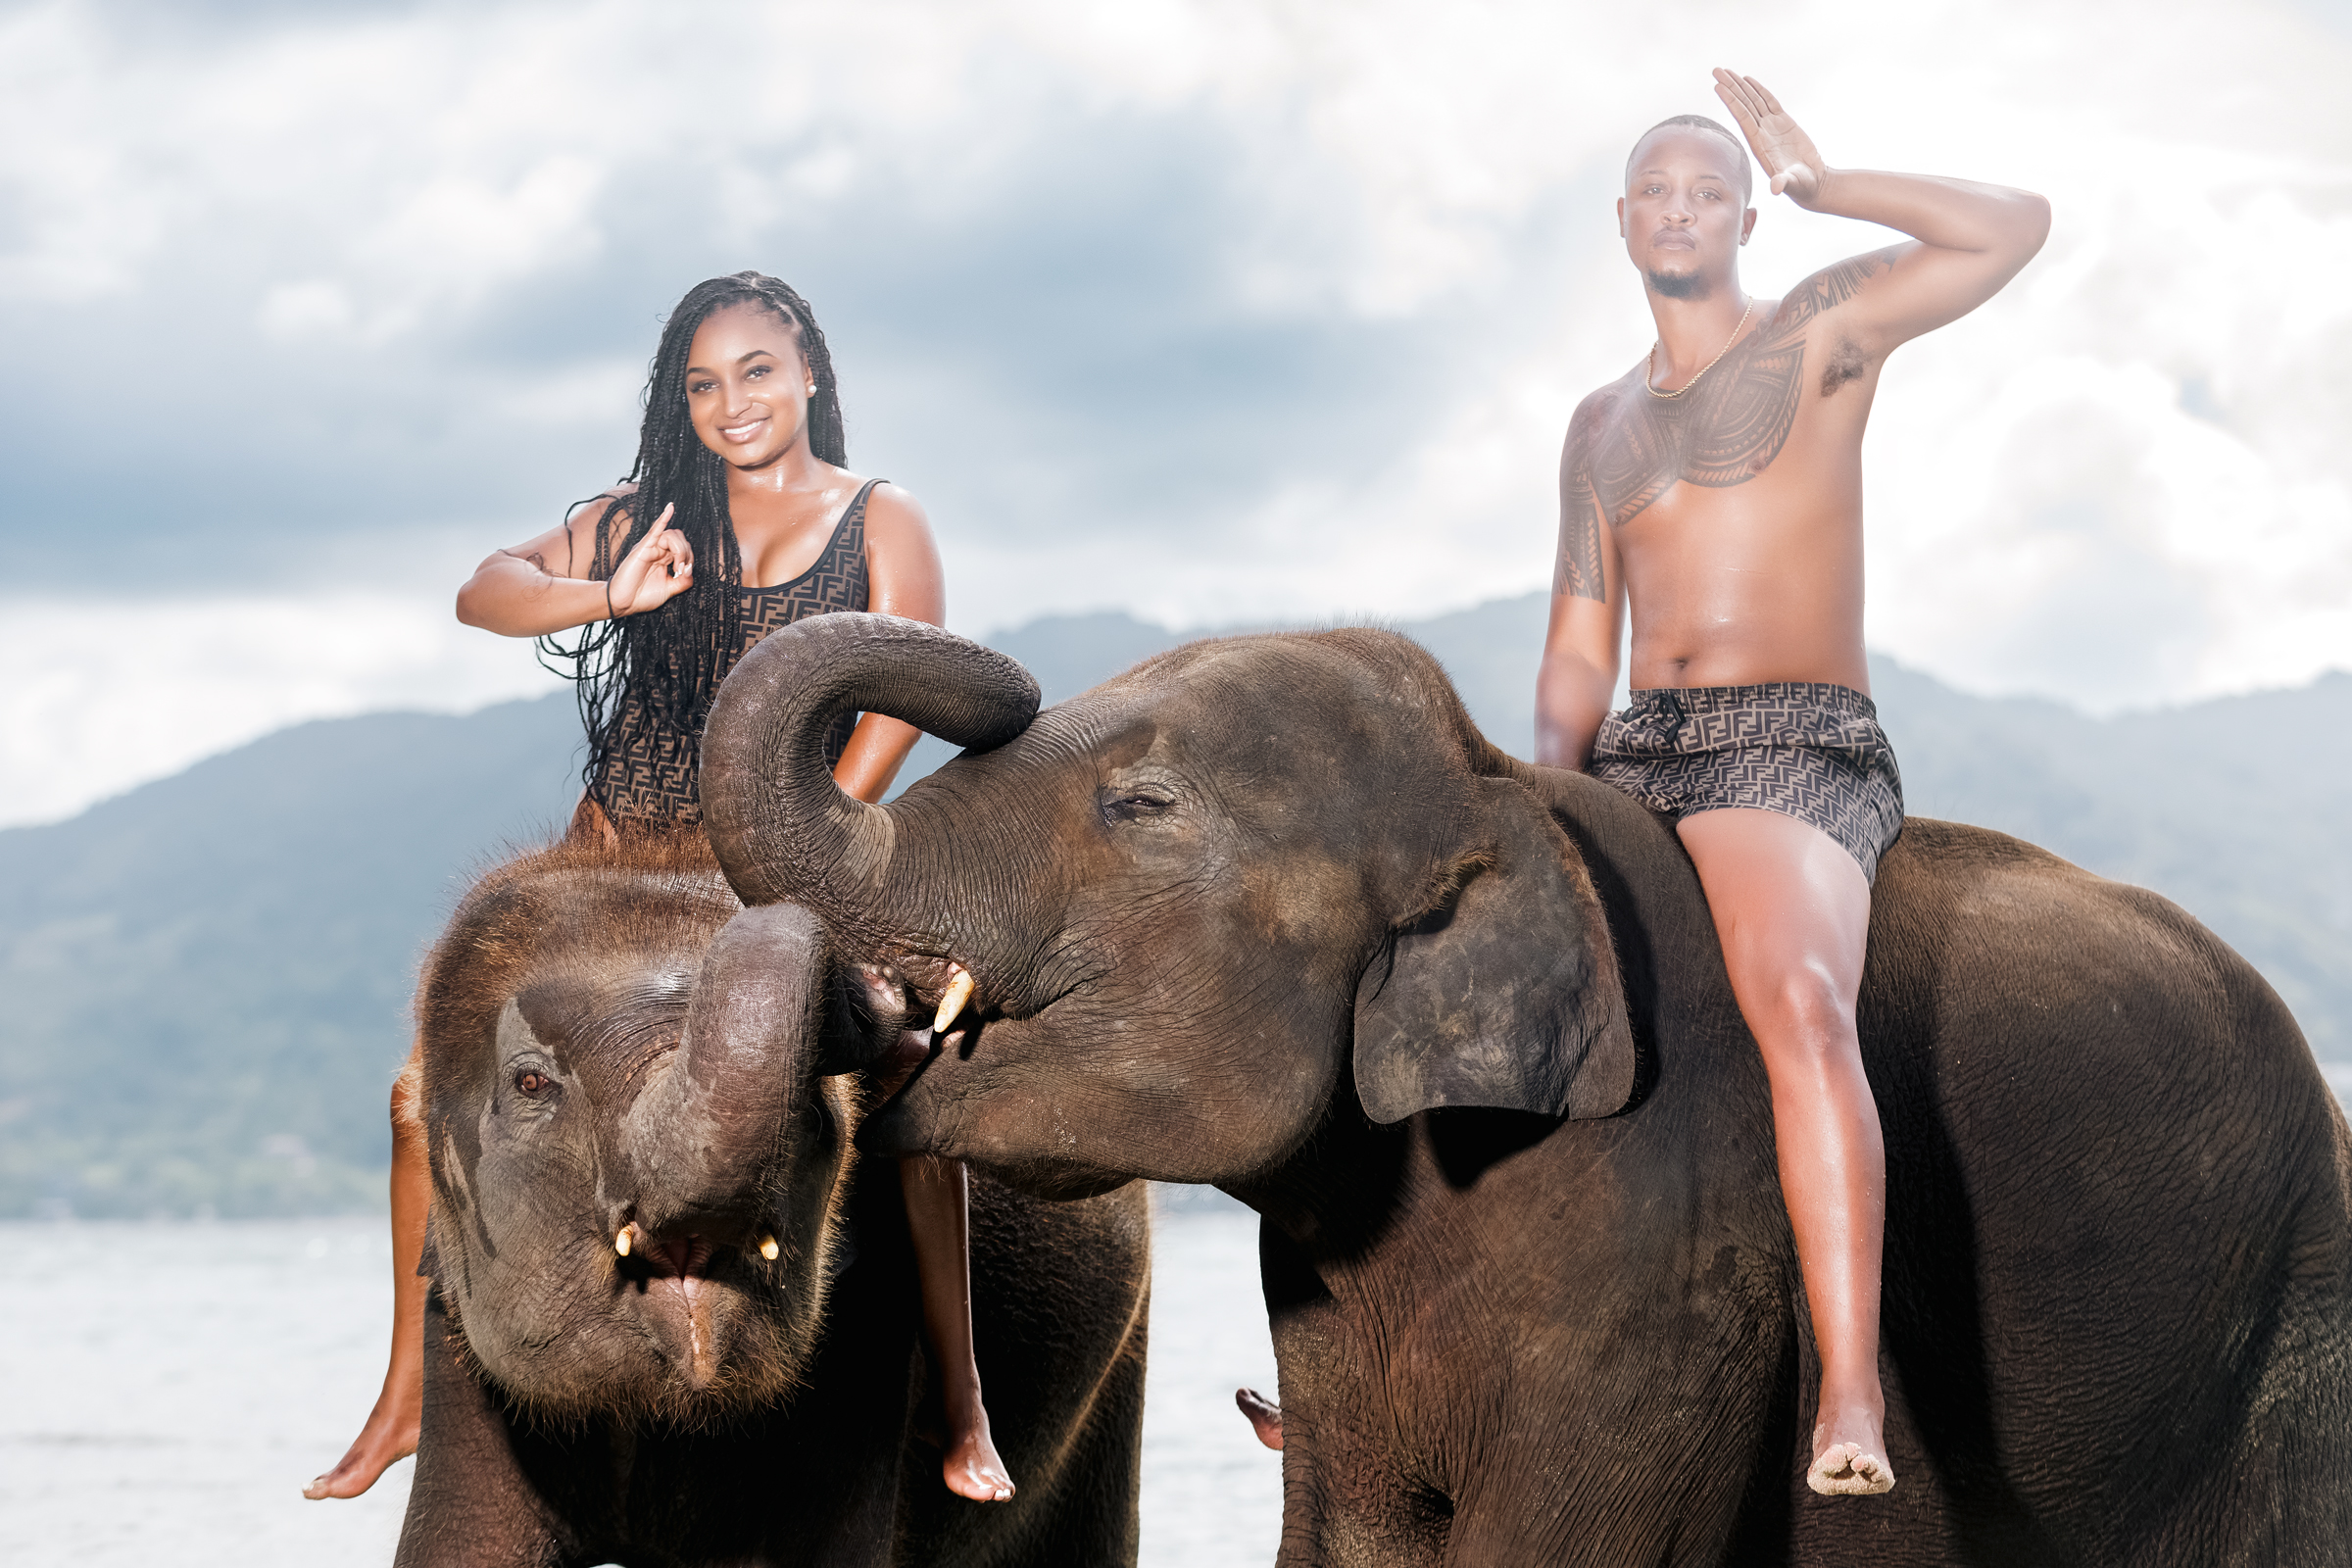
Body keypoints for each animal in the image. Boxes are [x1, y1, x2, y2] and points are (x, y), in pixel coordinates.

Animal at [690, 611, 2352, 1566]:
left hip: (2295, 1334)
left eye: (1142, 807)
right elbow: (1357, 1534)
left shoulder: (1677, 1252)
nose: (996, 670)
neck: (1492, 787)